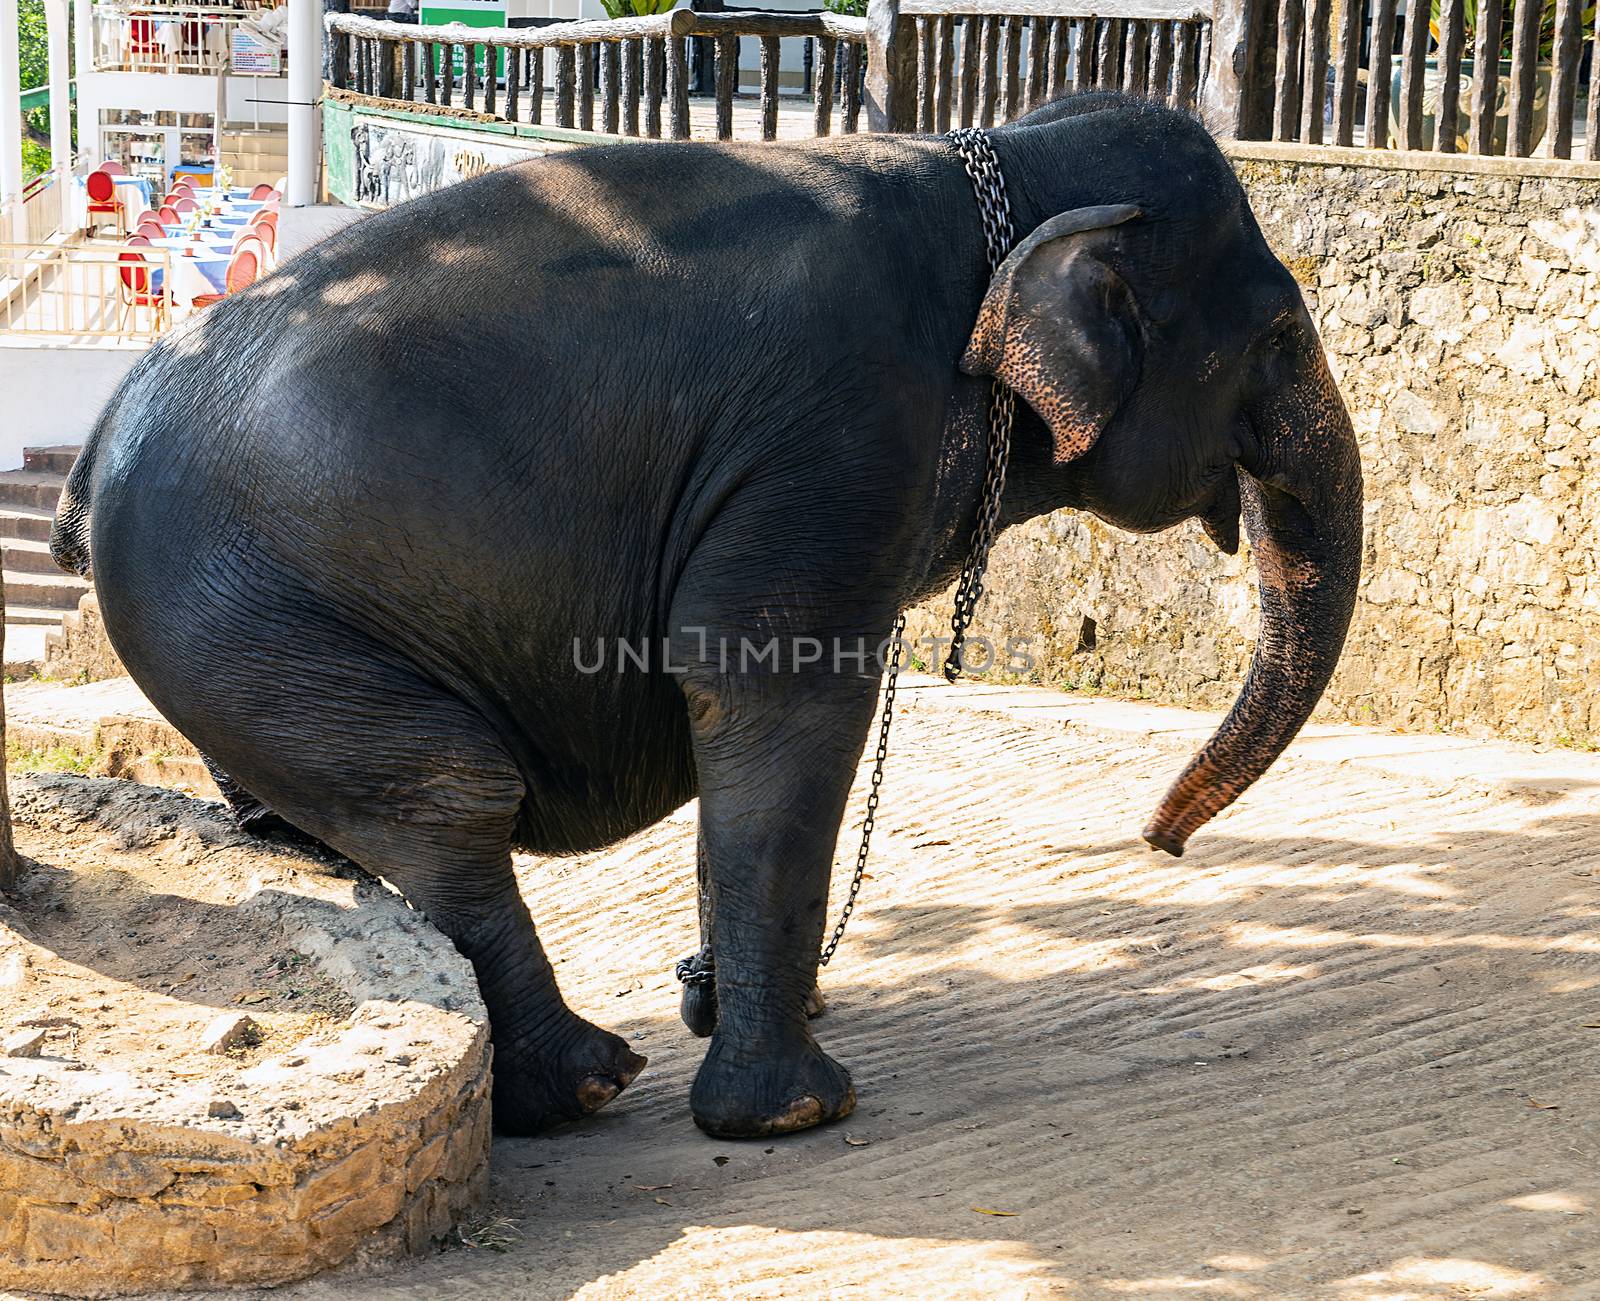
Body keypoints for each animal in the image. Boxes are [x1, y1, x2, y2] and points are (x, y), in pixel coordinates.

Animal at [50, 94, 1356, 1139]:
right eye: (1279, 335)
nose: (1159, 840)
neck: (994, 158)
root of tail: (90, 454)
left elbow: (734, 729)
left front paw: (733, 1001)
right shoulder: (831, 433)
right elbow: (775, 696)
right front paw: (795, 1108)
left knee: (325, 815)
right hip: (245, 620)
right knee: (446, 797)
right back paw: (586, 1082)